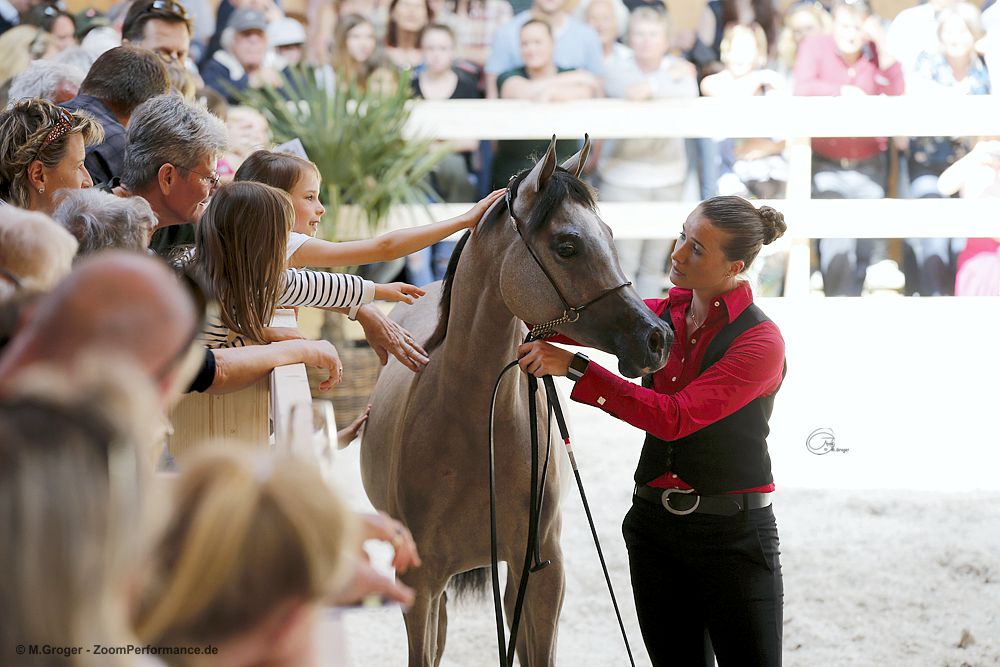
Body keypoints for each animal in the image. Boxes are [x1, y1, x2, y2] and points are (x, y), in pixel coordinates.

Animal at [364, 137, 668, 667]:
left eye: (610, 234)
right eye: (567, 246)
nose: (656, 338)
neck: (470, 429)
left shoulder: (542, 571)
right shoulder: (419, 583)